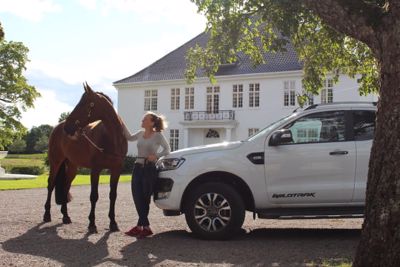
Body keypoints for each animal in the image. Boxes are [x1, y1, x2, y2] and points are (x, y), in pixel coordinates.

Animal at [42, 82, 126, 233]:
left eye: (85, 104)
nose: (68, 127)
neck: (112, 139)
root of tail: (57, 127)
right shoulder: (96, 170)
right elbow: (94, 196)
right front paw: (92, 223)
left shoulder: (117, 170)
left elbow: (113, 195)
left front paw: (113, 223)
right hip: (55, 162)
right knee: (51, 184)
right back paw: (47, 215)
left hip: (72, 167)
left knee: (65, 186)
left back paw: (66, 216)